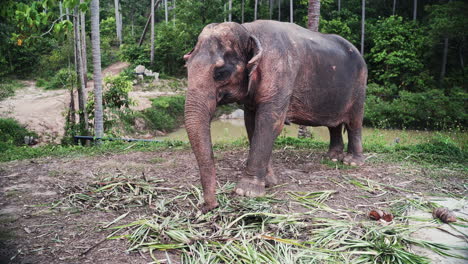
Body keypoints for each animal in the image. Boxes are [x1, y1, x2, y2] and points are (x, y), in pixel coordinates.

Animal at [185, 19, 368, 212]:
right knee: (334, 125)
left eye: (220, 73)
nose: (210, 206)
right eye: (186, 67)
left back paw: (351, 162)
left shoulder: (281, 73)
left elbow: (269, 122)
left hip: (360, 85)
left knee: (355, 122)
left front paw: (247, 192)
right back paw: (332, 158)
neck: (249, 30)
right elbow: (251, 123)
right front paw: (269, 183)